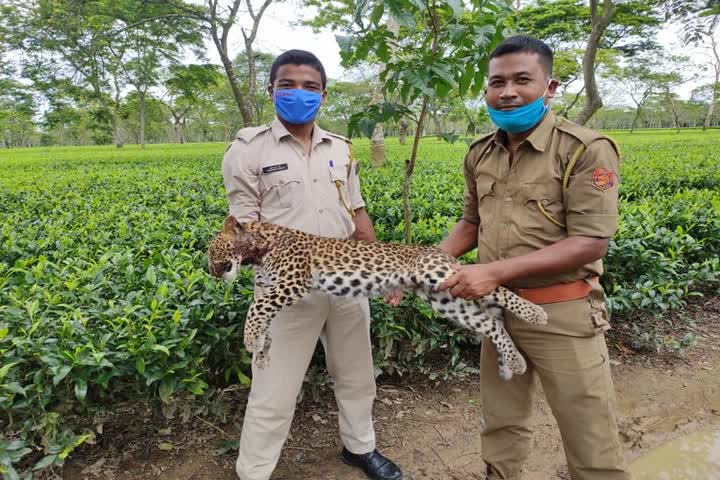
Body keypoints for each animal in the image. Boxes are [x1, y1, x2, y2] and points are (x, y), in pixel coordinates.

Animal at [205, 216, 548, 380]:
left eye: (212, 250)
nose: (208, 271)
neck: (258, 250)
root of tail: (439, 252)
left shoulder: (292, 284)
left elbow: (254, 309)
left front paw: (250, 340)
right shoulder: (271, 289)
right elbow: (263, 316)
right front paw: (261, 349)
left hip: (438, 273)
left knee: (492, 287)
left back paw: (536, 314)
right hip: (445, 299)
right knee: (491, 325)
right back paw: (515, 360)